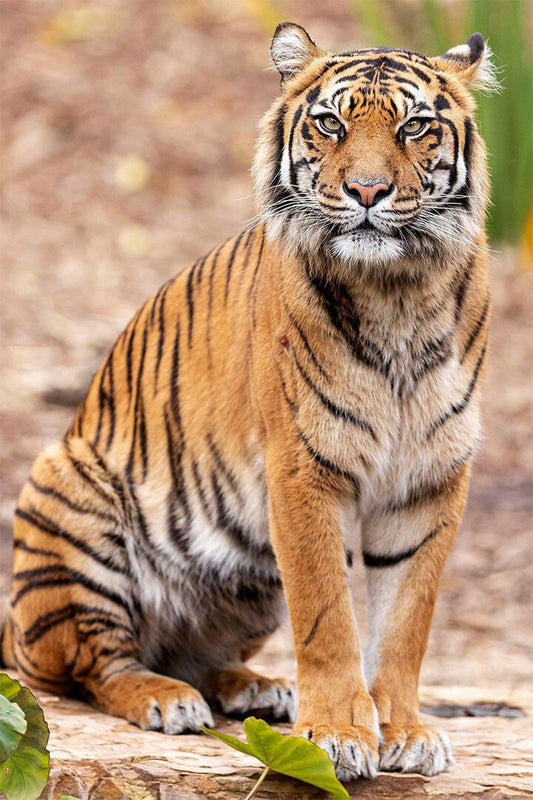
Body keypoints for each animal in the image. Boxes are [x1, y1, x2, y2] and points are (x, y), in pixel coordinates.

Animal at [0, 22, 495, 781]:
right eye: (330, 123)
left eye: (414, 127)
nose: (368, 191)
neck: (398, 291)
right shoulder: (303, 468)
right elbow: (327, 616)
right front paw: (337, 736)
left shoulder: (430, 478)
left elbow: (407, 618)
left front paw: (403, 730)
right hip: (70, 495)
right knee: (91, 668)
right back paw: (165, 699)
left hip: (247, 583)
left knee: (201, 657)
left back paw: (259, 691)